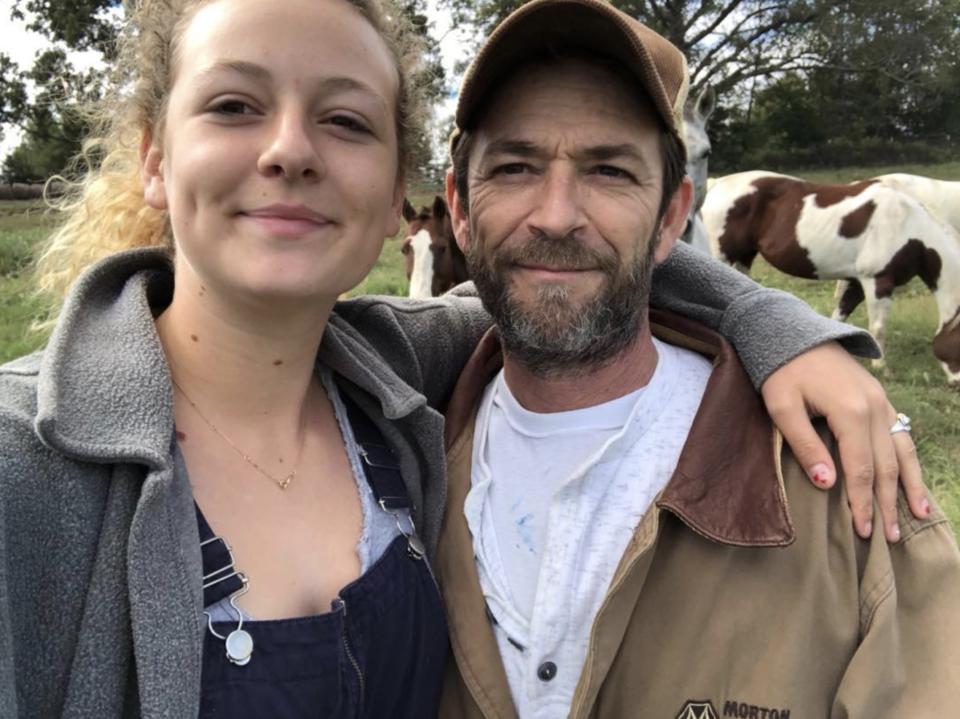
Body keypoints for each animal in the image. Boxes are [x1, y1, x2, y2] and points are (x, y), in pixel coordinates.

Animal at [696, 172, 960, 386]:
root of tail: (717, 184)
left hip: (744, 256)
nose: (956, 384)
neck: (908, 225)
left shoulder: (856, 282)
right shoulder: (878, 281)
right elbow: (878, 327)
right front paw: (882, 368)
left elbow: (841, 315)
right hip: (721, 255)